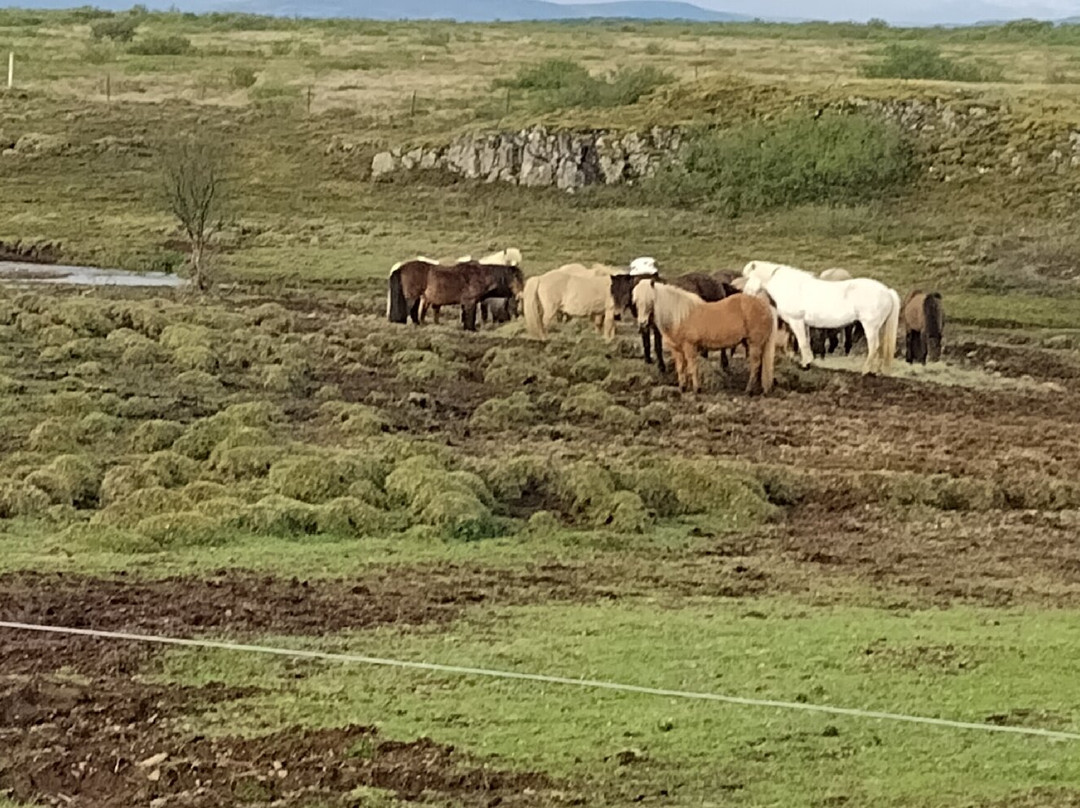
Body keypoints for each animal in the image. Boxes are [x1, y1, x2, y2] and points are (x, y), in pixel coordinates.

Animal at [633, 279, 777, 395]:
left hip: (755, 343)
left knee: (755, 365)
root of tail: (764, 305)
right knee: (760, 365)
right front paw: (682, 388)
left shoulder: (689, 347)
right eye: (636, 302)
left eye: (650, 300)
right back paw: (759, 388)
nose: (642, 323)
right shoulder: (677, 350)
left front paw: (697, 389)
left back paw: (749, 390)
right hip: (751, 343)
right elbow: (681, 368)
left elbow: (692, 367)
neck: (679, 316)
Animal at [742, 260, 899, 375]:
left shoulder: (797, 321)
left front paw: (805, 364)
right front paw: (808, 361)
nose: (745, 294)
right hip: (879, 328)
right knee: (879, 348)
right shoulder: (804, 324)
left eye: (747, 277)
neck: (791, 287)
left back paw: (865, 370)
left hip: (870, 326)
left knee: (873, 346)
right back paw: (874, 371)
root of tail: (887, 291)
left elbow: (802, 342)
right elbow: (805, 342)